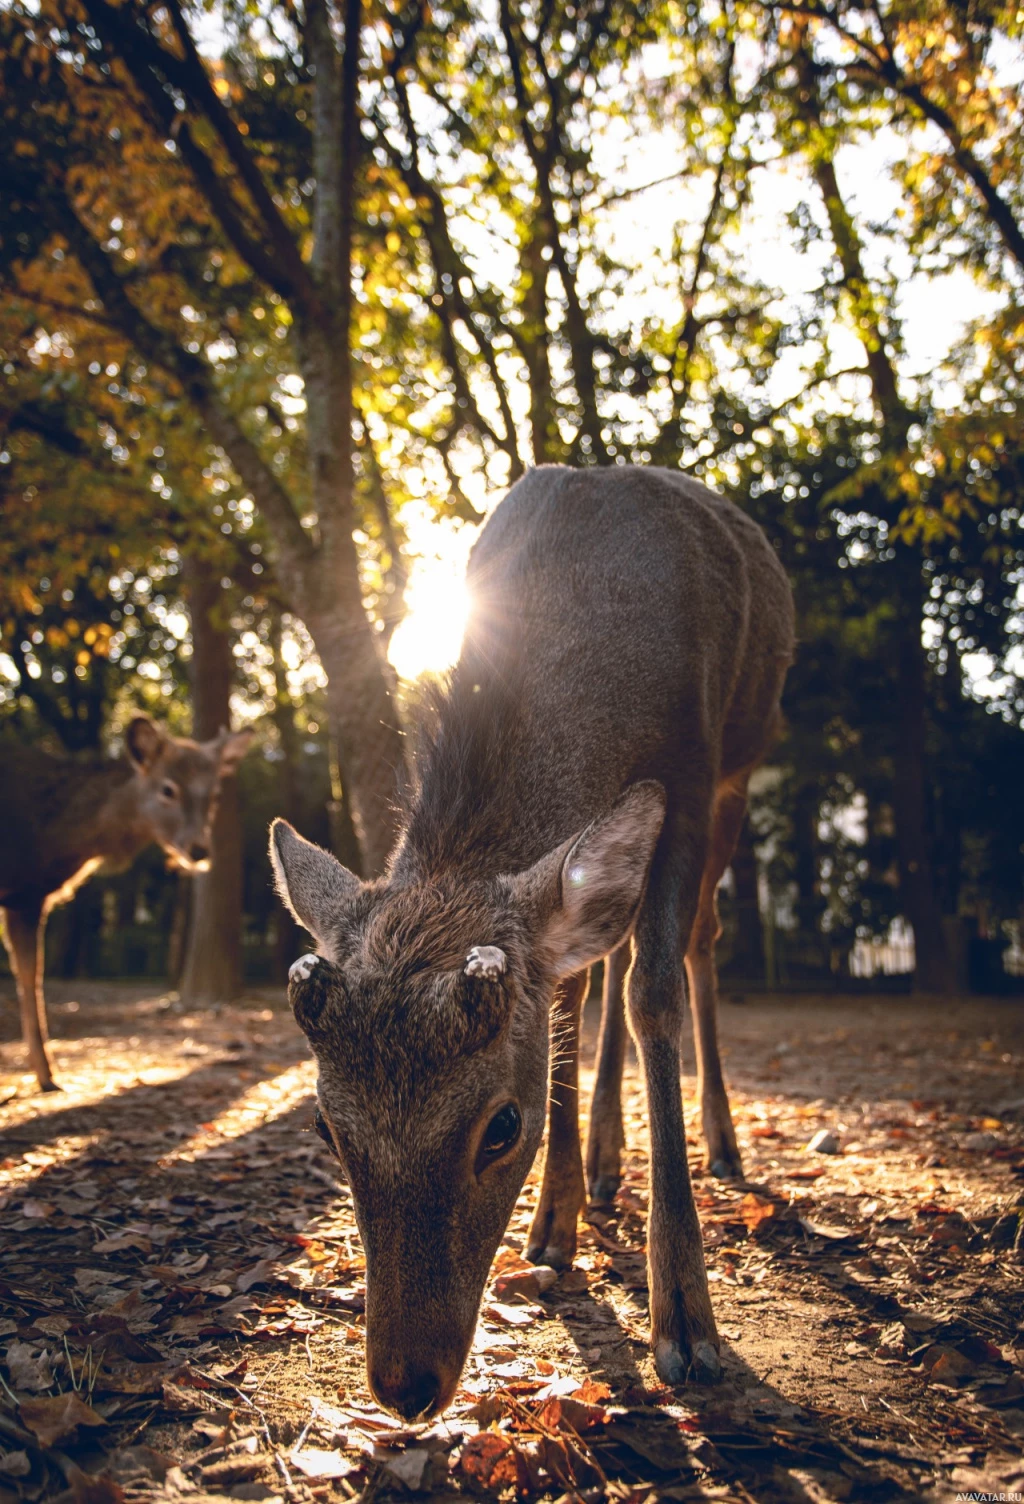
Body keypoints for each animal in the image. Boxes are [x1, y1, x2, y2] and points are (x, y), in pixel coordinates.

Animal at [0, 709, 251, 1088]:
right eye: (167, 788)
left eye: (215, 793)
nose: (199, 850)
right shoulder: (23, 895)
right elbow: (31, 974)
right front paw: (46, 1076)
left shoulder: (26, 894)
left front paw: (45, 1074)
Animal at [269, 463, 787, 1413]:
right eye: (326, 1125)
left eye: (501, 1126)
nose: (405, 1383)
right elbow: (567, 997)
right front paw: (554, 1227)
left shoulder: (694, 768)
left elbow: (654, 992)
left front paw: (687, 1324)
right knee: (599, 962)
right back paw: (599, 1172)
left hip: (745, 764)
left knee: (692, 943)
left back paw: (723, 1146)